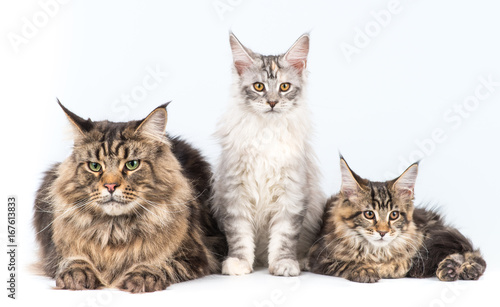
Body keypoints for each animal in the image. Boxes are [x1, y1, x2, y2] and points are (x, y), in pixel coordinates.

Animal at [33, 101, 225, 294]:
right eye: (95, 166)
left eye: (132, 164)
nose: (110, 186)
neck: (114, 229)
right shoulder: (53, 254)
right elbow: (73, 259)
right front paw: (77, 273)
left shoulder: (196, 255)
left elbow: (163, 262)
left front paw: (144, 274)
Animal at [214, 33, 324, 276]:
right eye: (258, 86)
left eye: (284, 86)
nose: (272, 102)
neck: (267, 132)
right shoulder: (235, 193)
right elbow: (239, 236)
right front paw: (238, 263)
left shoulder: (291, 194)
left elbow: (284, 237)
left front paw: (284, 264)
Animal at [308, 159, 484, 284]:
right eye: (369, 214)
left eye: (394, 215)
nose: (382, 232)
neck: (376, 252)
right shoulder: (318, 258)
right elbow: (345, 263)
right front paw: (365, 270)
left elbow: (401, 263)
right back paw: (451, 269)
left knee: (471, 251)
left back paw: (465, 268)